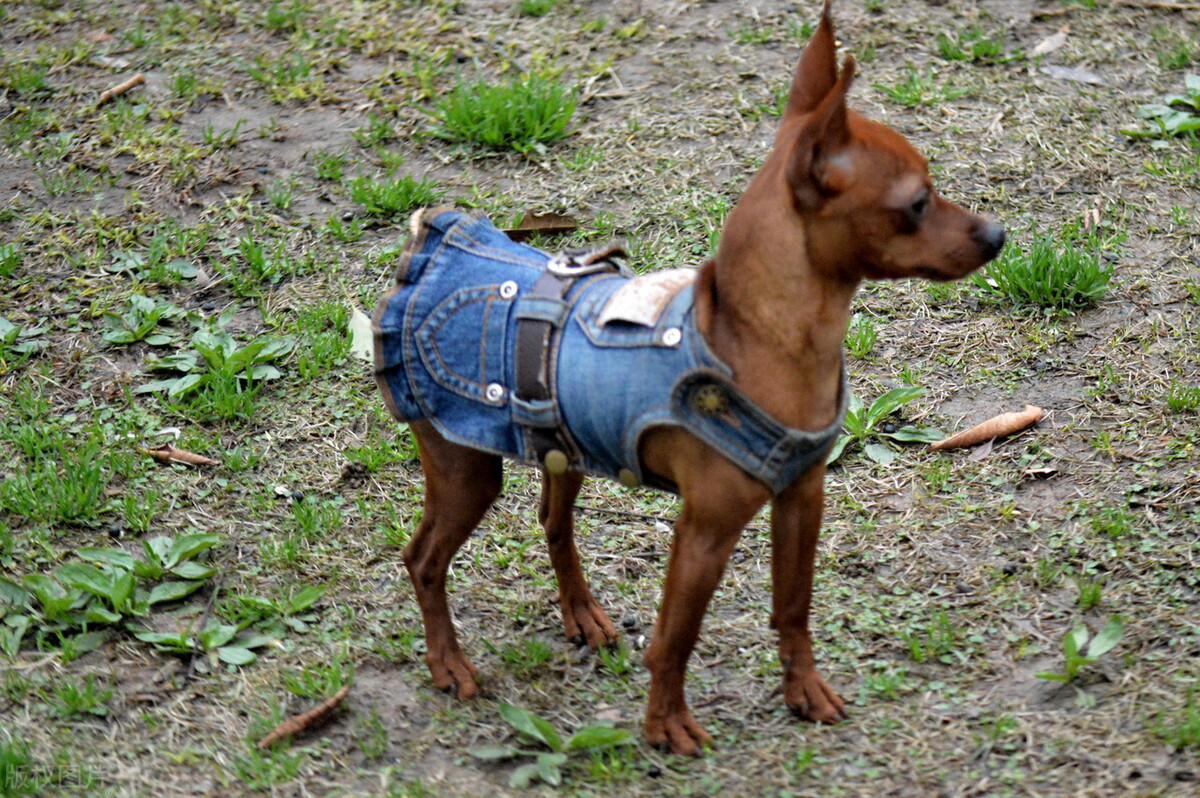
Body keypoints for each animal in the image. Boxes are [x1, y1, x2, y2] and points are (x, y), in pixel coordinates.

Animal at [372, 1, 1003, 753]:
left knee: (553, 523)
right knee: (423, 559)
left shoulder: (801, 498)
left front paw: (804, 690)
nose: (997, 236)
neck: (760, 336)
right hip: (465, 470)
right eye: (916, 204)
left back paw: (582, 615)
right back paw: (450, 664)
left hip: (562, 450)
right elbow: (676, 636)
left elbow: (793, 606)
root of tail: (433, 240)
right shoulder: (704, 531)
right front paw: (665, 723)